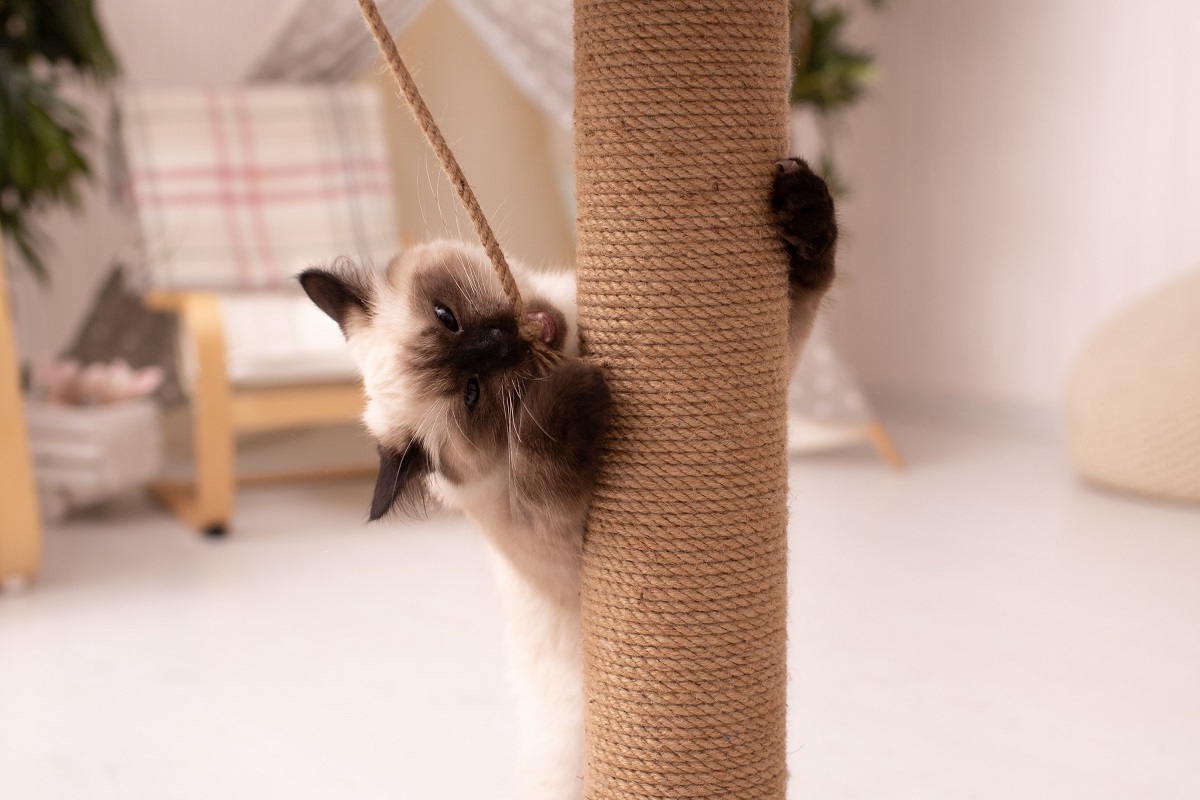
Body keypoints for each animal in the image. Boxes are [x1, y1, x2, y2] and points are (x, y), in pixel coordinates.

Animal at [300, 158, 840, 800]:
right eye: (473, 392)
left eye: (447, 318)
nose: (498, 342)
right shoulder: (563, 553)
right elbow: (546, 462)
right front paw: (567, 399)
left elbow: (803, 291)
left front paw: (803, 208)